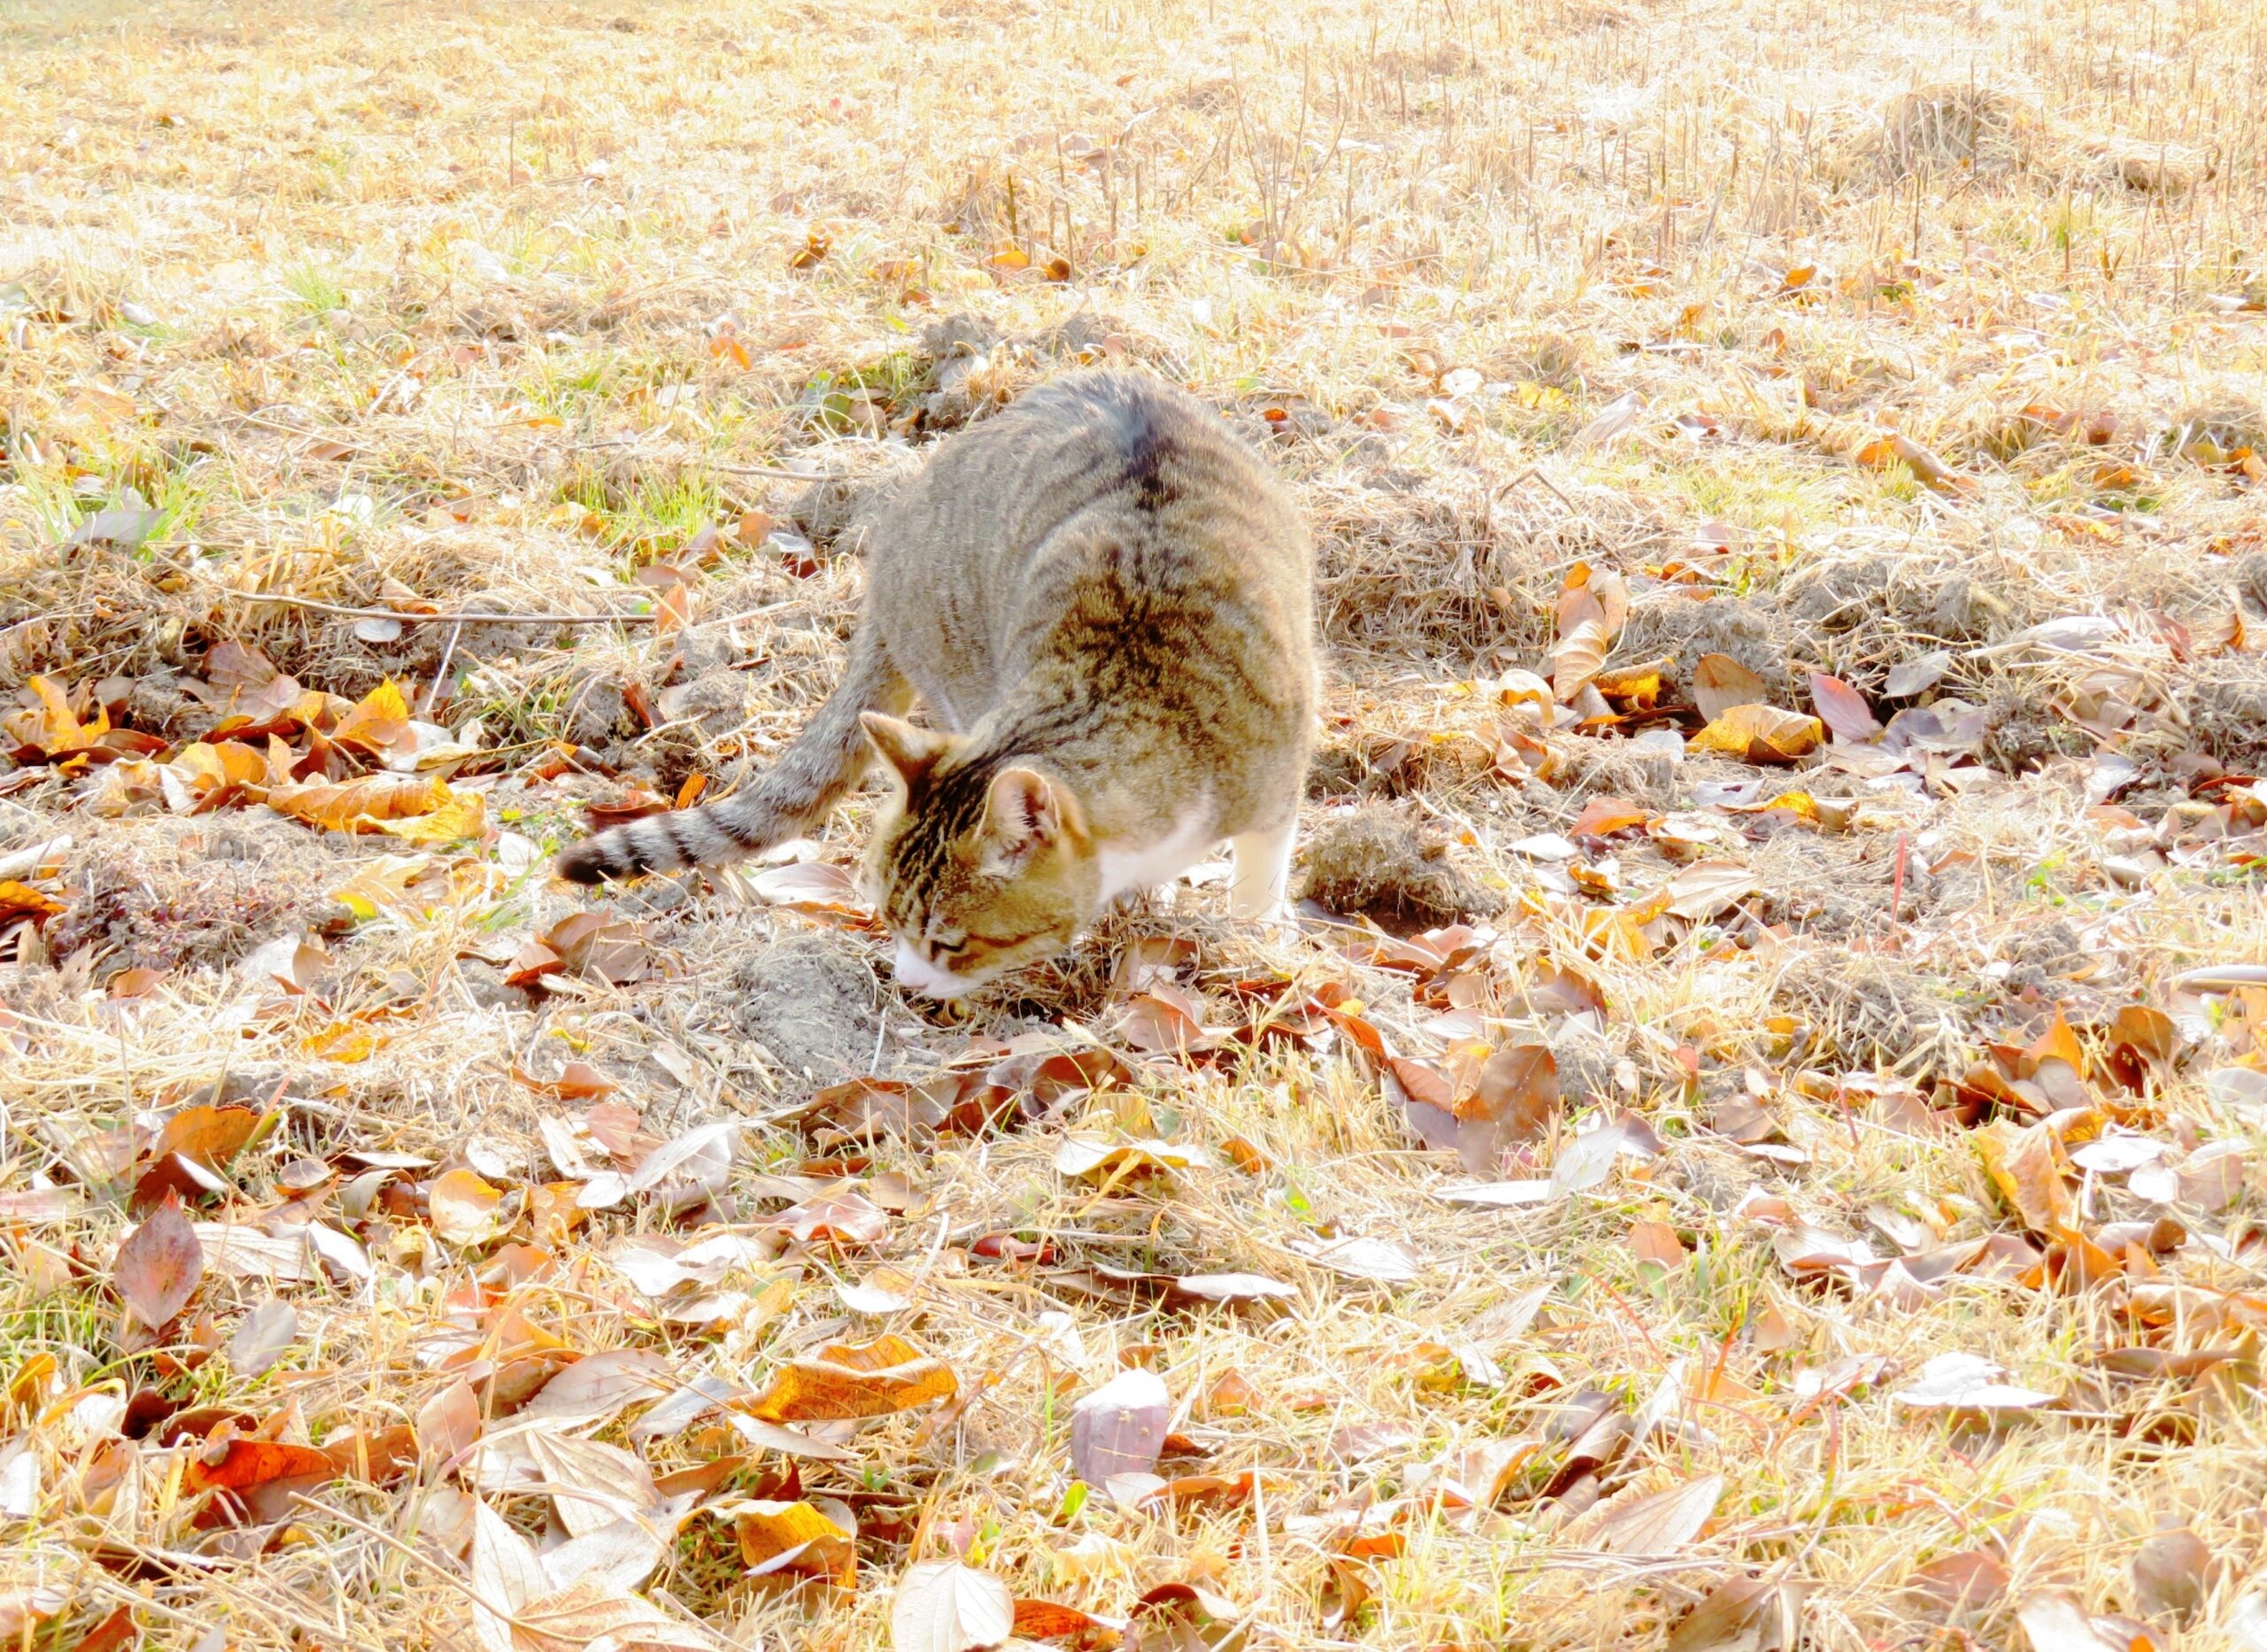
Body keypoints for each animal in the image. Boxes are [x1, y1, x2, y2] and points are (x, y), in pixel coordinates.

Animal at [555, 371, 1324, 992]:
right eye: (884, 914)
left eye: (950, 944)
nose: (904, 984)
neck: (1125, 683)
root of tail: (889, 542)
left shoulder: (1277, 789)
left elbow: (1262, 875)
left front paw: (1256, 941)